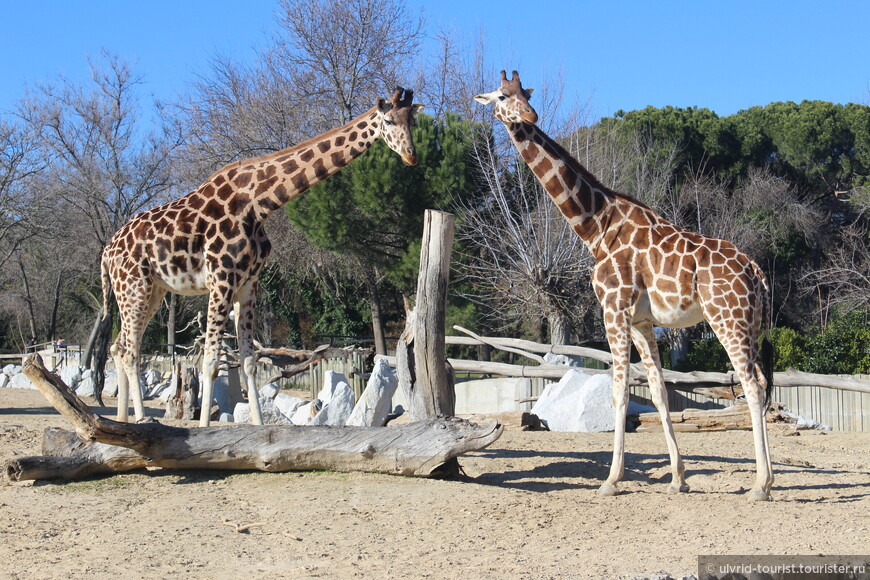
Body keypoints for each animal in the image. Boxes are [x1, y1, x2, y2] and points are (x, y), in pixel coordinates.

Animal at [100, 89, 424, 426]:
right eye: (389, 121)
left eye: (412, 120)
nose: (411, 155)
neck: (258, 203)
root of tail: (107, 253)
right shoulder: (221, 279)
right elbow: (211, 361)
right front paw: (203, 428)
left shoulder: (248, 283)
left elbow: (249, 362)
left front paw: (257, 426)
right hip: (134, 287)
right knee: (129, 351)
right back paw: (140, 419)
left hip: (153, 290)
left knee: (119, 346)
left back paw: (122, 419)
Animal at [476, 71, 776, 498]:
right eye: (504, 96)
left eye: (525, 94)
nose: (530, 115)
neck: (594, 227)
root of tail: (755, 270)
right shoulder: (641, 321)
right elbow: (659, 393)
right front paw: (678, 478)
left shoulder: (613, 309)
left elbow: (619, 392)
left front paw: (611, 480)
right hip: (749, 321)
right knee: (763, 381)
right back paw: (764, 479)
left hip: (726, 318)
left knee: (751, 384)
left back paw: (761, 484)